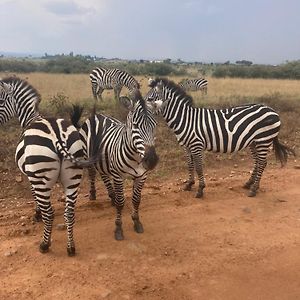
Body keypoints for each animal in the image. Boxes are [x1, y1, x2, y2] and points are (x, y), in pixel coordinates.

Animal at [0, 77, 101, 255]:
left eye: (0, 100)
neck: (31, 118)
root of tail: (58, 136)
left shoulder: (30, 175)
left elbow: (34, 196)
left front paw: (37, 213)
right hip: (73, 175)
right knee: (69, 213)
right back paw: (71, 247)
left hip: (41, 177)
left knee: (50, 213)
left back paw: (44, 245)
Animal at [71, 89, 159, 241]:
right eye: (135, 125)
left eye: (155, 125)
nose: (151, 160)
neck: (136, 158)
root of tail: (97, 115)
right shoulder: (118, 176)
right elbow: (121, 202)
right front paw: (118, 229)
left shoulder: (142, 176)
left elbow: (136, 200)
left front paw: (137, 222)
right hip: (87, 155)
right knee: (92, 173)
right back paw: (94, 194)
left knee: (103, 174)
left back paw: (111, 195)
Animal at [146, 78, 294, 198]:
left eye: (149, 99)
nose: (140, 112)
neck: (186, 119)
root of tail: (272, 110)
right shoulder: (186, 146)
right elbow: (190, 165)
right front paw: (189, 184)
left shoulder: (196, 145)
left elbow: (199, 167)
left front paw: (200, 189)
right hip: (254, 141)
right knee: (258, 161)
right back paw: (248, 183)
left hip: (263, 139)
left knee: (262, 162)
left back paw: (254, 189)